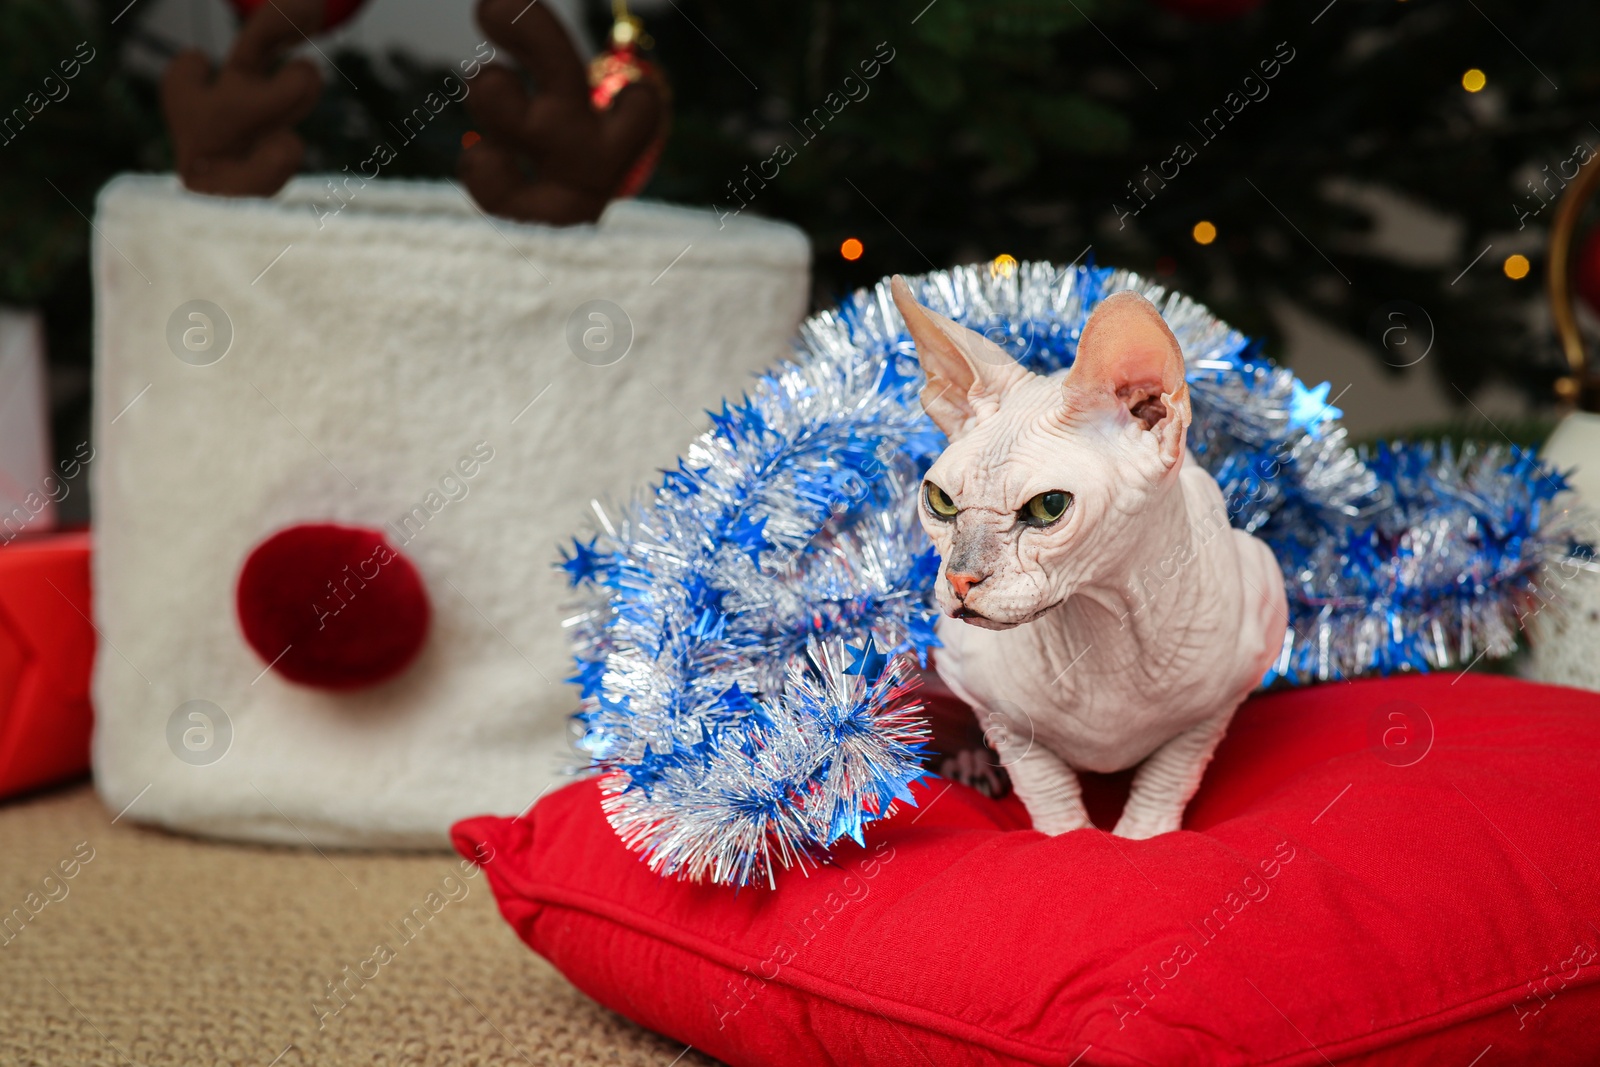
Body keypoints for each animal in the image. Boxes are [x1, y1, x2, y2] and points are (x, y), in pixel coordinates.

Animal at [889, 278, 1286, 844]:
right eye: (940, 501)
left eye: (1048, 507)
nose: (960, 580)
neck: (1103, 628)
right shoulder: (997, 712)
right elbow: (1047, 791)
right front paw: (1069, 838)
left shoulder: (1221, 703)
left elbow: (1169, 780)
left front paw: (1143, 839)